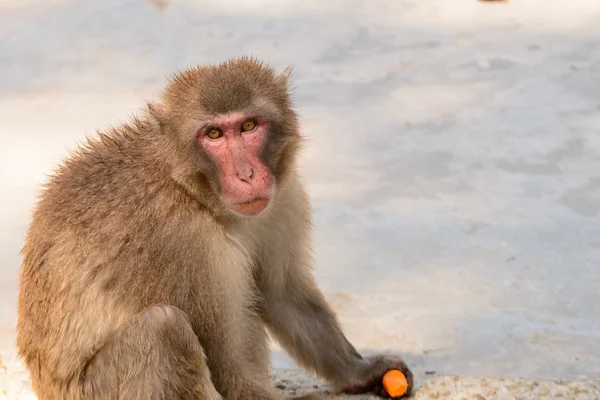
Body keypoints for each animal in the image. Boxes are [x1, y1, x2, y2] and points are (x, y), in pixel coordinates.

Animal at [16, 57, 414, 400]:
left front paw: (360, 371)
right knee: (164, 329)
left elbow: (281, 292)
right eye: (214, 134)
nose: (246, 174)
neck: (192, 191)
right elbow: (230, 374)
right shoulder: (181, 243)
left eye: (249, 126)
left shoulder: (283, 199)